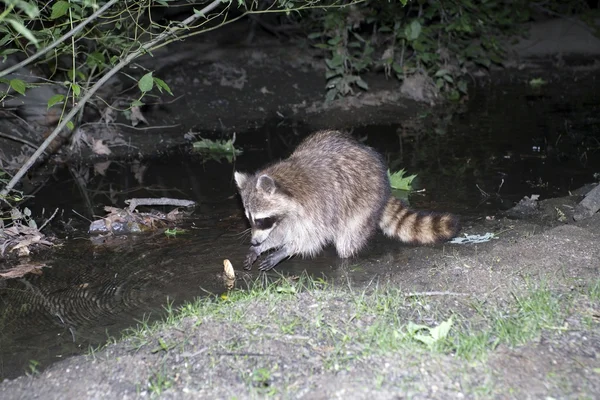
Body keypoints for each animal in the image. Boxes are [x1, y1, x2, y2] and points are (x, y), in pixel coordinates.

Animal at [234, 130, 460, 270]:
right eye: (249, 219)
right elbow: (281, 231)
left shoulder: (320, 207)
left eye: (260, 220)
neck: (290, 183)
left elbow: (312, 237)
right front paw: (263, 245)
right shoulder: (286, 215)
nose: (254, 240)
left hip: (364, 204)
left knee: (347, 240)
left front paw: (286, 249)